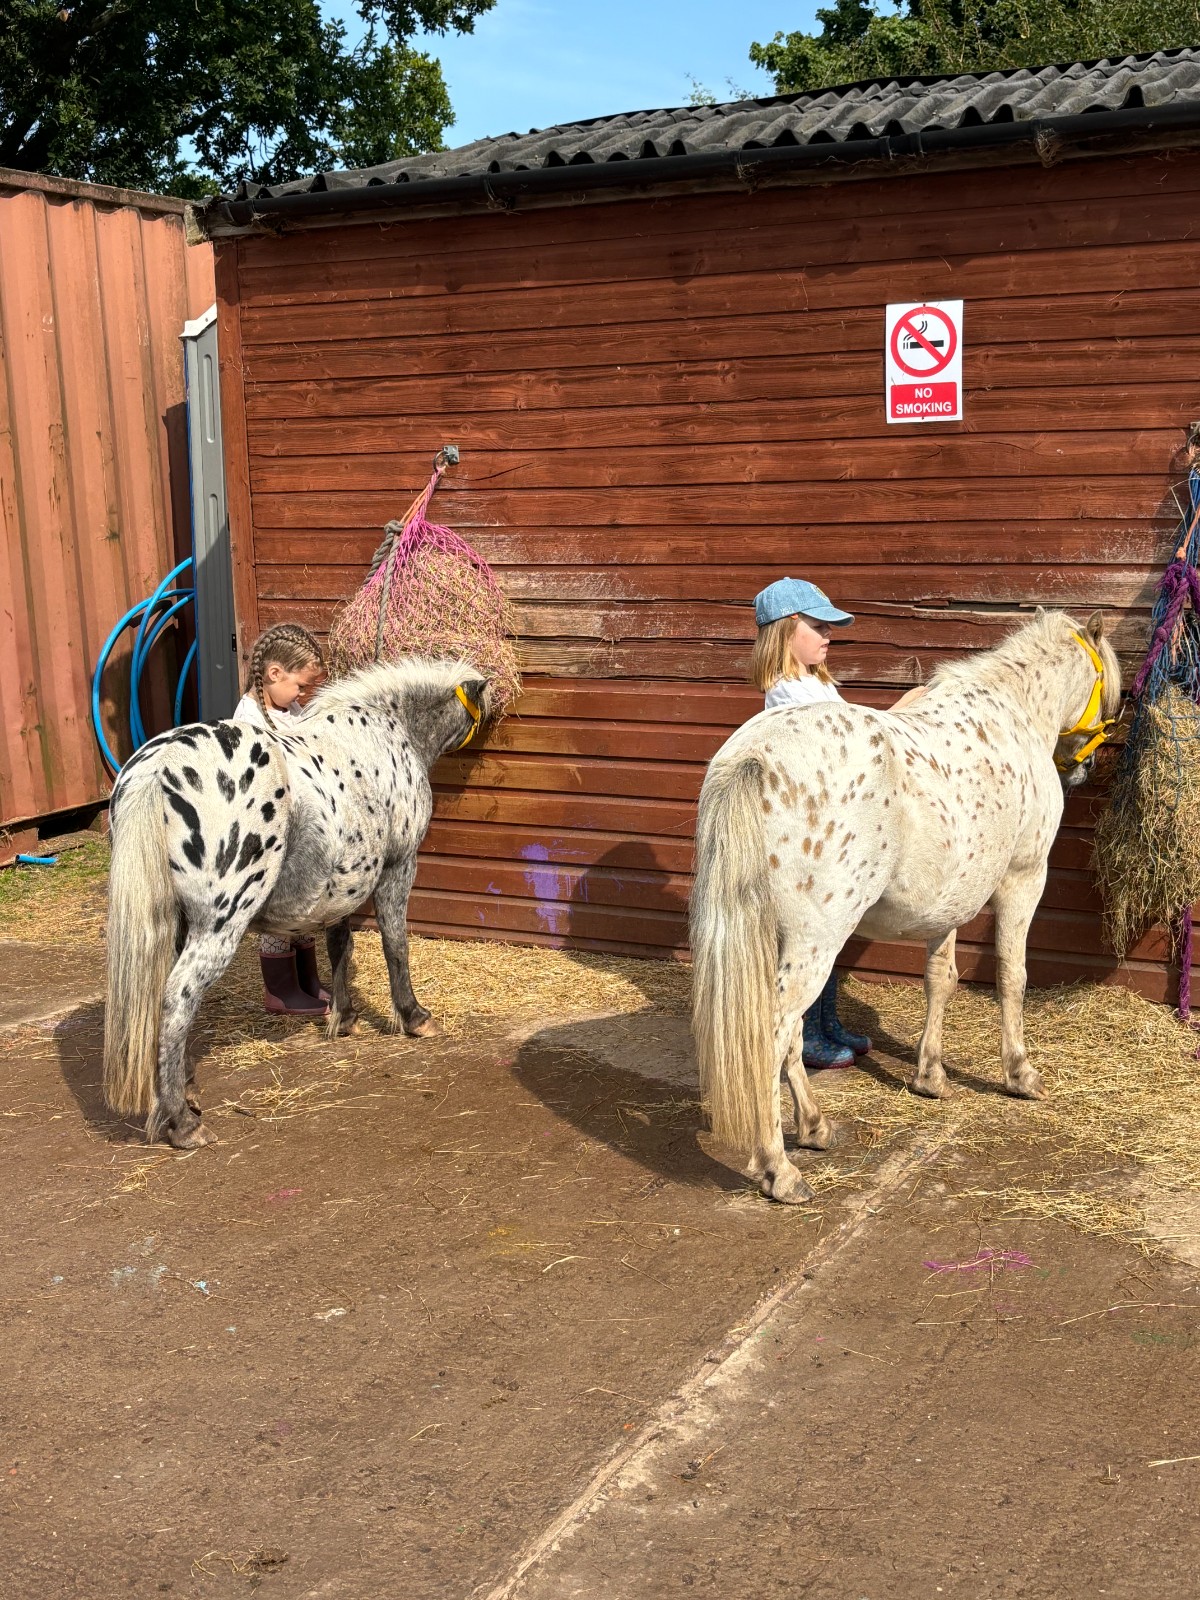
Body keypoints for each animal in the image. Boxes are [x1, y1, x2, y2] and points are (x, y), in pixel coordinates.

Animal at [103, 656, 488, 1149]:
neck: (389, 727)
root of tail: (158, 768)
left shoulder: (346, 883)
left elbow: (340, 944)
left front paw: (344, 1017)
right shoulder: (398, 867)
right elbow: (395, 945)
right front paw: (414, 1017)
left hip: (177, 924)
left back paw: (185, 1093)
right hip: (219, 923)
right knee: (177, 997)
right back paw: (183, 1122)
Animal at [690, 609, 1120, 1204]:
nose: (1085, 767)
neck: (1016, 713)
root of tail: (753, 758)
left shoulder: (948, 905)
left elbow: (941, 980)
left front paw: (930, 1077)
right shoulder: (1024, 878)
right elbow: (1012, 977)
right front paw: (1020, 1074)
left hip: (782, 941)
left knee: (791, 1033)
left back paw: (815, 1127)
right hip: (814, 941)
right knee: (773, 1033)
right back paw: (779, 1169)